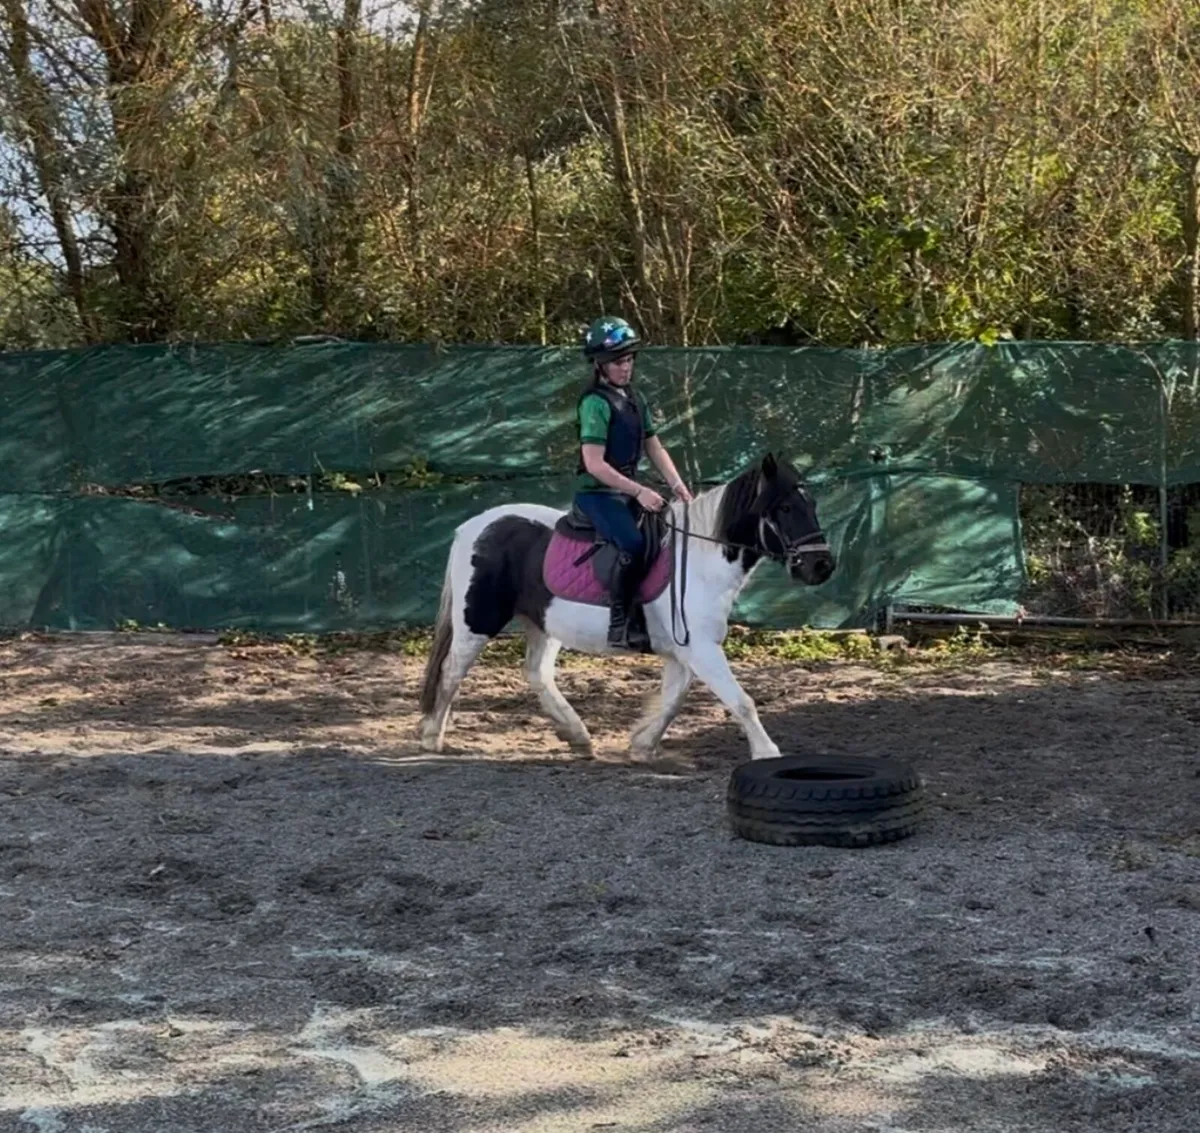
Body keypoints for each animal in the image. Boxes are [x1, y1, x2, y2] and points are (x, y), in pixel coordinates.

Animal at [417, 452, 835, 761]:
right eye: (784, 508)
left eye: (811, 503)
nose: (822, 566)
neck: (700, 560)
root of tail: (472, 527)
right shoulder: (701, 649)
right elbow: (741, 700)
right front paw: (767, 752)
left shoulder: (683, 652)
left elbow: (674, 699)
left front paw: (642, 746)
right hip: (477, 621)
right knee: (452, 671)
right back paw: (432, 737)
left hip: (542, 623)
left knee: (537, 673)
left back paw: (578, 736)